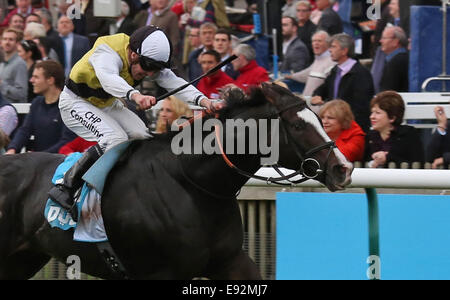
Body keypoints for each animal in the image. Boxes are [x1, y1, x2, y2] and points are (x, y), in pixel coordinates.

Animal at [0, 83, 354, 280]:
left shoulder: (231, 261)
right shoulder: (160, 273)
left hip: (23, 258)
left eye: (320, 118)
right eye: (297, 125)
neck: (193, 184)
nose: (343, 168)